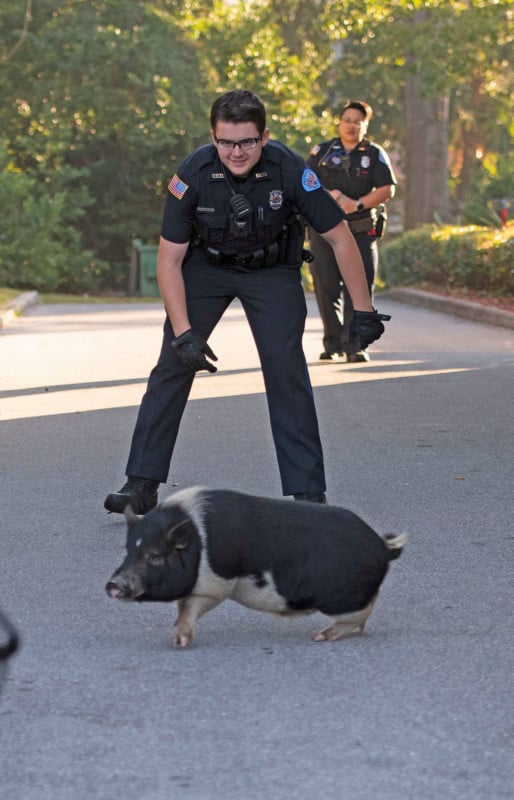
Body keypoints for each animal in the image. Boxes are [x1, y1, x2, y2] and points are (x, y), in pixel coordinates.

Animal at [105, 484, 408, 648]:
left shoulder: (217, 583)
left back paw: (320, 636)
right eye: (129, 551)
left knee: (361, 612)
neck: (198, 544)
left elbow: (192, 605)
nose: (112, 585)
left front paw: (179, 642)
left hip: (343, 598)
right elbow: (183, 608)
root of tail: (382, 547)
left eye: (154, 556)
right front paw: (176, 634)